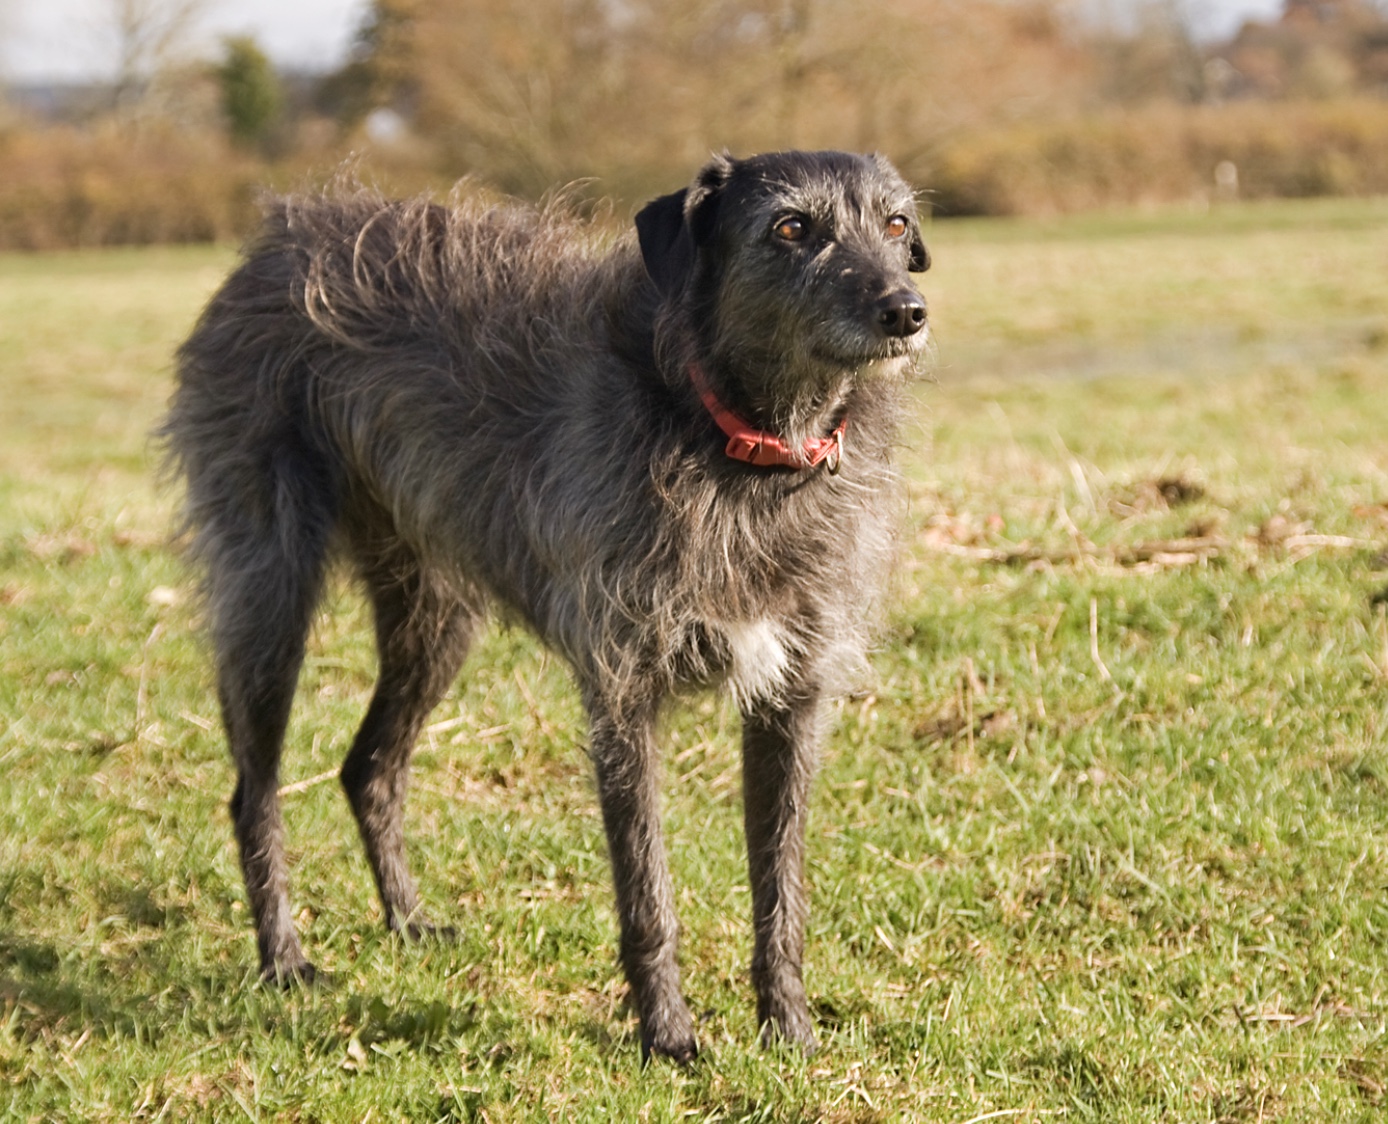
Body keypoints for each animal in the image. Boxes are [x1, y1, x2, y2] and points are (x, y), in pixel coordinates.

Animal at [162, 151, 932, 1060]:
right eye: (791, 227)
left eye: (894, 224)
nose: (906, 312)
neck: (736, 441)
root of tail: (279, 239)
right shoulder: (622, 693)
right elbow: (646, 892)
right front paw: (667, 1036)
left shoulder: (792, 698)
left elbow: (781, 886)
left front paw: (790, 1030)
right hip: (270, 599)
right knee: (255, 792)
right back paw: (282, 956)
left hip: (436, 618)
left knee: (370, 767)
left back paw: (408, 921)